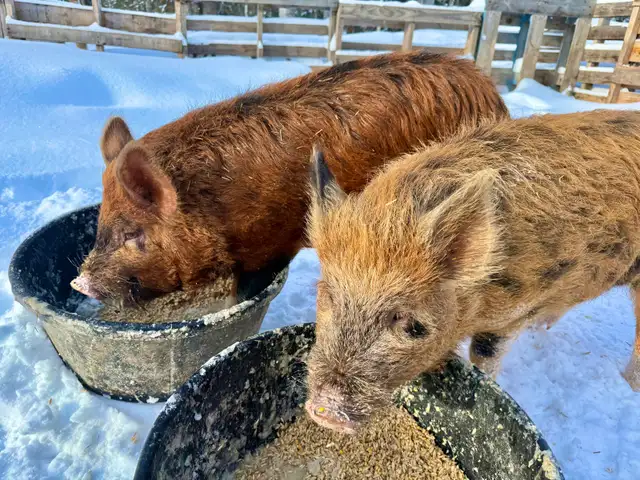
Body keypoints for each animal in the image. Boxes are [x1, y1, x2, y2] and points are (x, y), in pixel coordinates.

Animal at [70, 51, 509, 305]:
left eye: (132, 233)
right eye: (100, 225)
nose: (79, 282)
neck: (212, 207)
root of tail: (491, 93)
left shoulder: (263, 246)